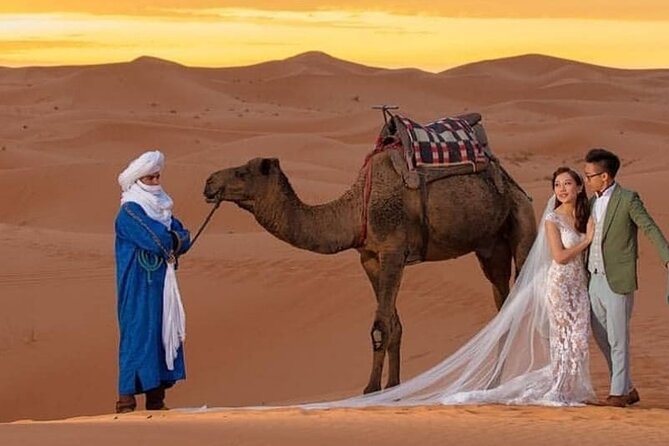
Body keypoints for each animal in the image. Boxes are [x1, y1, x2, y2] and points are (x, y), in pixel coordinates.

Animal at [203, 139, 537, 394]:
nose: (208, 182)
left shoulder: (393, 251)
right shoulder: (370, 258)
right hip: (490, 247)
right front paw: (393, 387)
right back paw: (494, 380)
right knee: (503, 301)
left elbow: (380, 327)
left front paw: (371, 389)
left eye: (242, 172)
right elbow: (394, 325)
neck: (355, 211)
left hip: (522, 220)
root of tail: (514, 185)